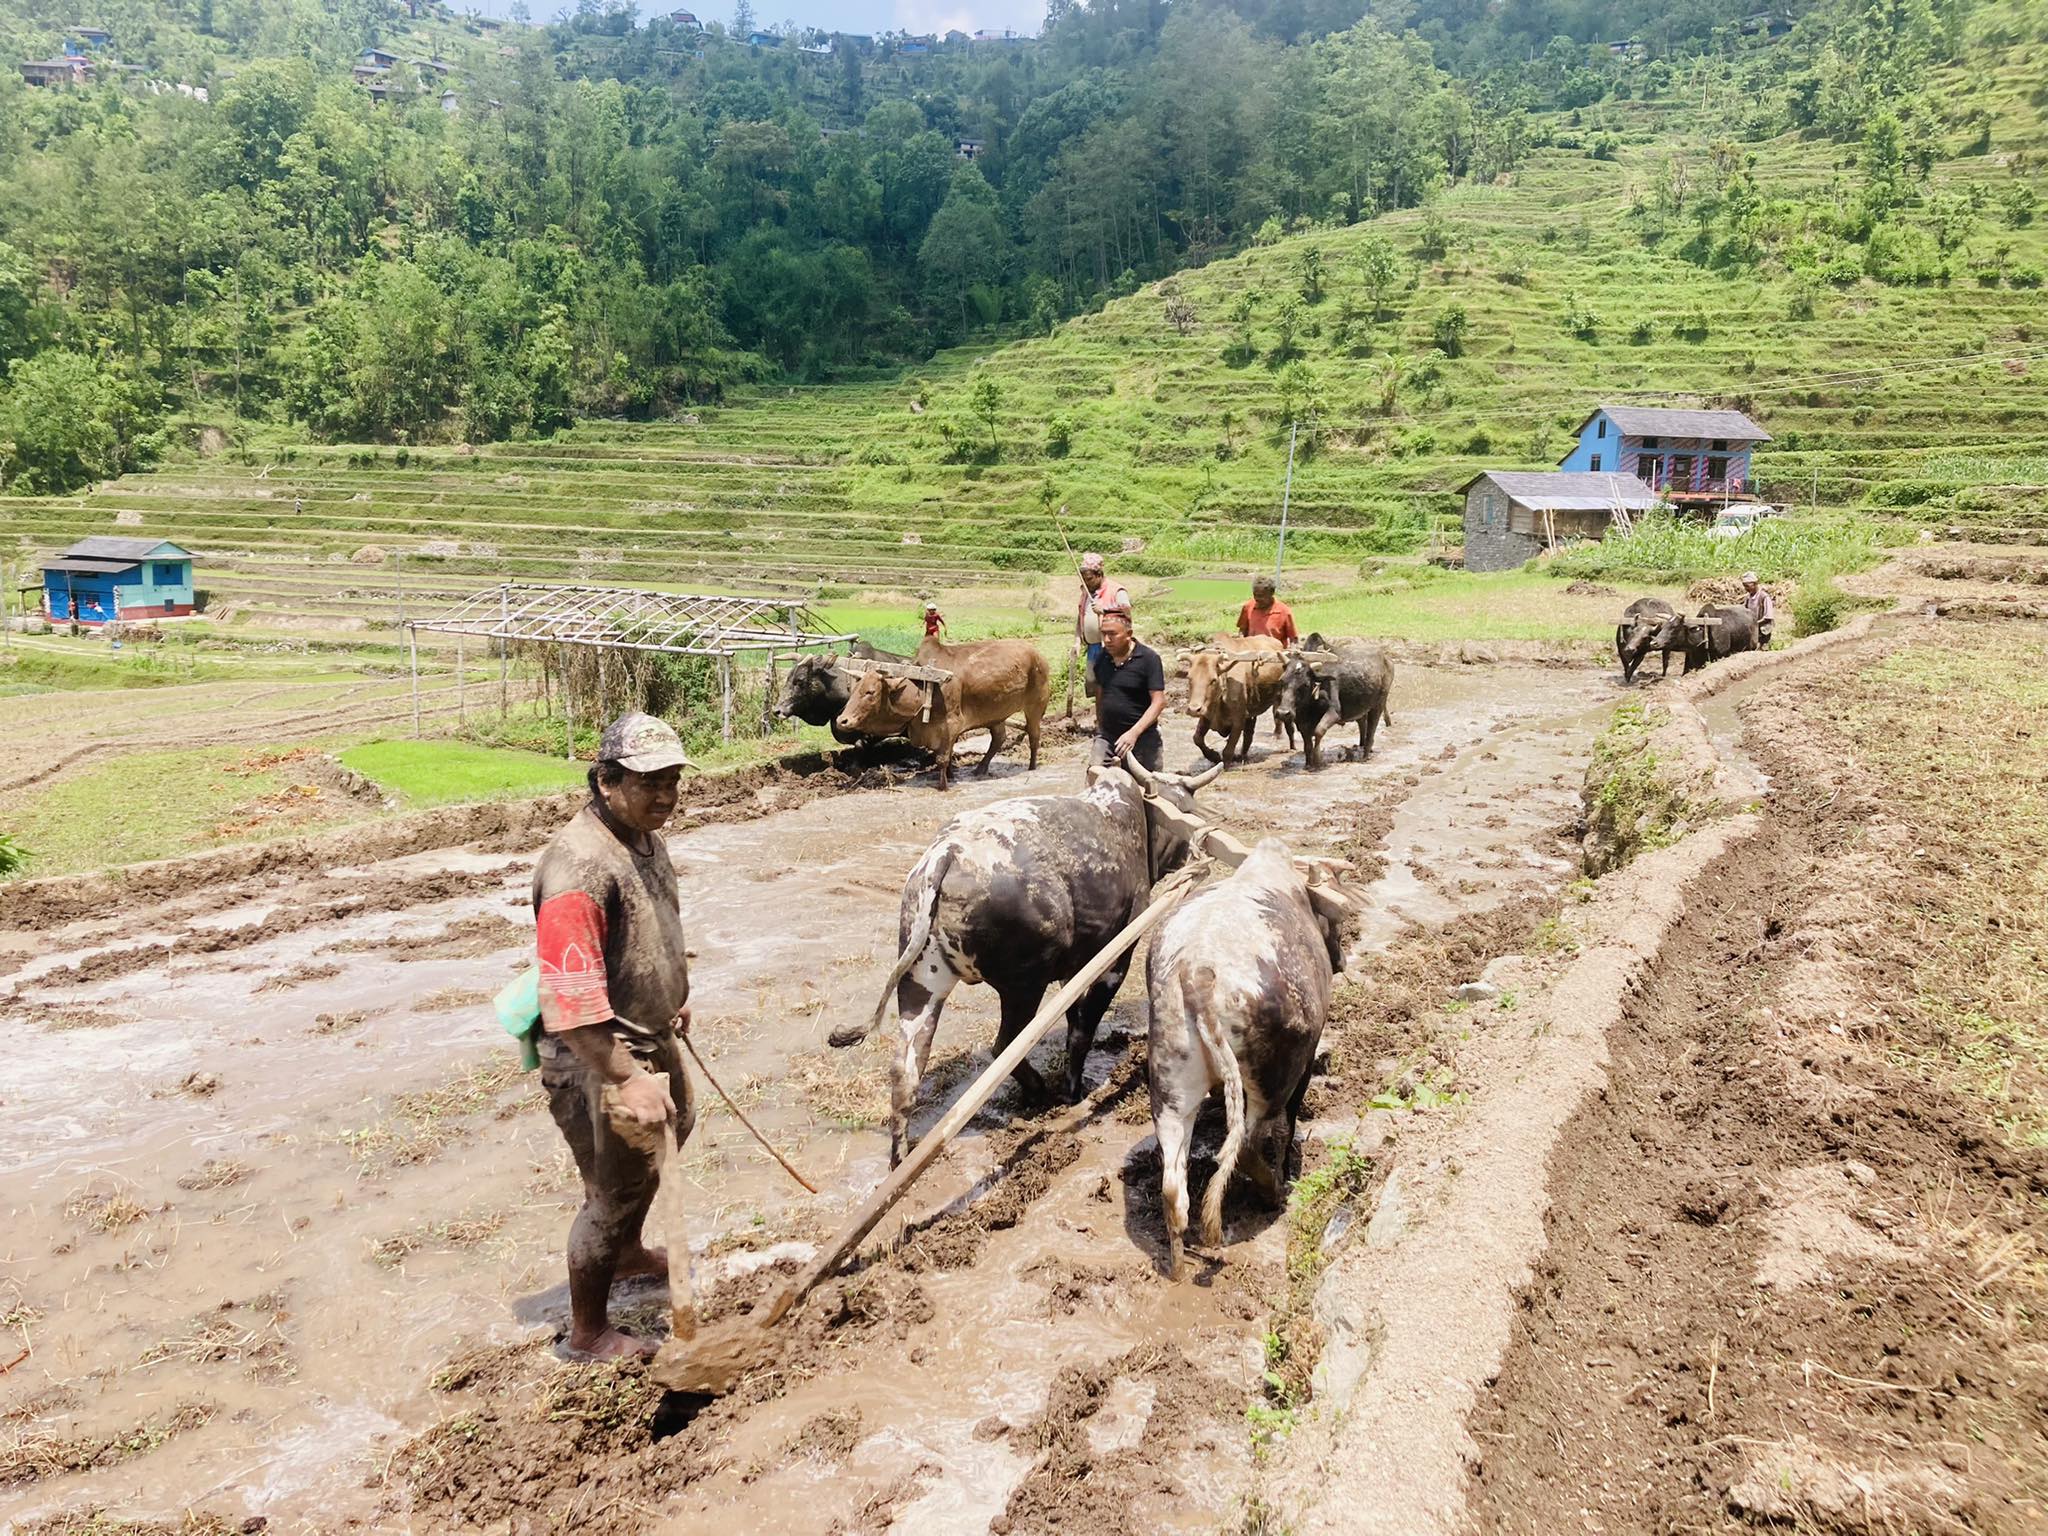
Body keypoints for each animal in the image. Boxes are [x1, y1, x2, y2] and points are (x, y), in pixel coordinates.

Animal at [835, 634, 1048, 794]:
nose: (842, 720)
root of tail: (1037, 653)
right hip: (995, 715)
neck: (923, 688)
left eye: (870, 692)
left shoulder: (951, 725)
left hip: (1035, 706)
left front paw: (943, 786)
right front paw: (951, 776)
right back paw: (980, 769)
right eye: (853, 690)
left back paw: (1032, 766)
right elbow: (946, 755)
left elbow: (942, 758)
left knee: (1034, 735)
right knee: (999, 738)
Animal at [839, 757, 1220, 1163]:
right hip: (1023, 985)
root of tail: (947, 854)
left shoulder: (1074, 968)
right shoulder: (1115, 958)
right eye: (1187, 809)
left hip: (922, 983)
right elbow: (1082, 1029)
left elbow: (1074, 1019)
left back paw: (901, 1156)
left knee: (907, 1067)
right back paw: (1038, 1090)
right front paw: (1073, 1091)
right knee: (1004, 1045)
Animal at [1155, 835, 1343, 1277]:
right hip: (1270, 1082)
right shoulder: (1304, 1062)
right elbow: (1287, 1129)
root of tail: (1198, 971)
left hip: (1171, 1089)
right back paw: (1274, 1192)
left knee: (1173, 1188)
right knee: (1248, 1145)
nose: (1343, 960)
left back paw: (1178, 1268)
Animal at [1179, 634, 1286, 765]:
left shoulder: (1238, 720)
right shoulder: (1206, 714)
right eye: (1189, 678)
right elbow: (1197, 738)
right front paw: (1213, 756)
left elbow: (1228, 751)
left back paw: (1277, 735)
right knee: (1249, 733)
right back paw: (1243, 756)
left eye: (1213, 680)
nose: (1194, 709)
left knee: (1276, 715)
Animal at [1277, 638, 1392, 774]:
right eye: (1282, 681)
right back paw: (1361, 747)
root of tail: (1386, 658)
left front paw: (1318, 760)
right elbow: (1307, 744)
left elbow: (1319, 731)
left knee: (1371, 729)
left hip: (1379, 703)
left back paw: (1365, 755)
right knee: (1362, 723)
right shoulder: (1301, 723)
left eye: (1305, 684)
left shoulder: (1334, 713)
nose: (1283, 713)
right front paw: (1308, 764)